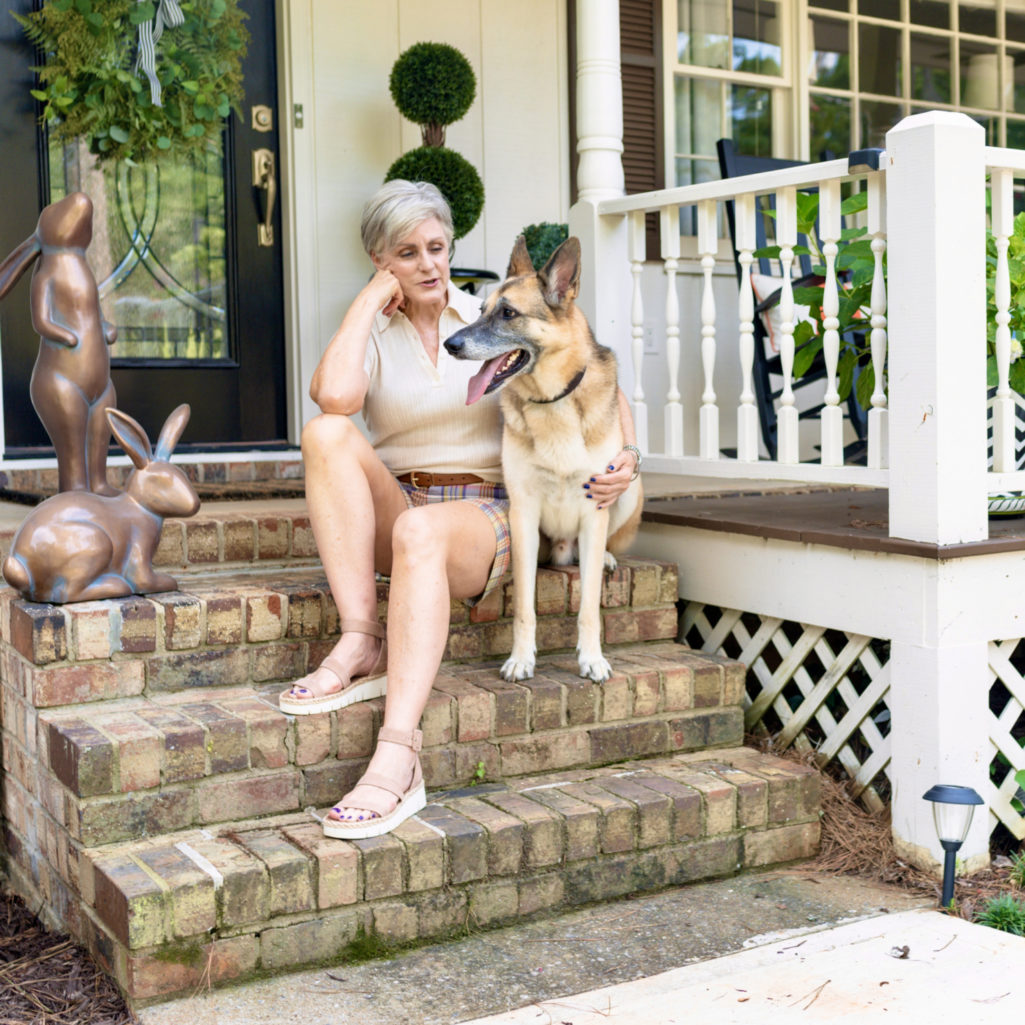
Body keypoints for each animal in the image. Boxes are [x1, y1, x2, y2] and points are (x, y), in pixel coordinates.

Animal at [442, 233, 635, 680]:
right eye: (480, 311)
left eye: (508, 313)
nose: (449, 344)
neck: (553, 401)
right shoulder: (524, 516)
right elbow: (524, 608)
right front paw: (521, 658)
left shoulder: (594, 510)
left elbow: (589, 608)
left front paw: (592, 658)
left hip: (628, 496)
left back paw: (608, 558)